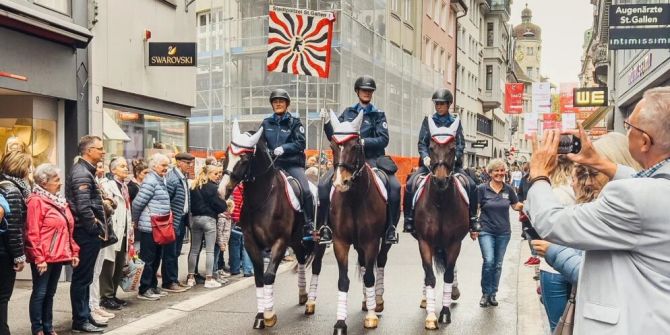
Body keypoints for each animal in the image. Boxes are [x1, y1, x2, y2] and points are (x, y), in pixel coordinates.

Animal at [218, 121, 326, 330]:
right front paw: (260, 315)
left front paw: (269, 315)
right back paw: (303, 295)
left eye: (244, 159)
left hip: (319, 242)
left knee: (316, 267)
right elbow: (259, 277)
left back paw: (310, 302)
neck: (262, 199)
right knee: (302, 260)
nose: (221, 190)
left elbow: (268, 276)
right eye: (227, 154)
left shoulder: (279, 242)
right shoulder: (251, 243)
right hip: (297, 241)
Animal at [326, 111, 392, 334]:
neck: (354, 199)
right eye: (332, 146)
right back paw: (366, 301)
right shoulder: (340, 242)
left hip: (382, 242)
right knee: (364, 266)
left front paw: (371, 317)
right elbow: (343, 281)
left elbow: (371, 276)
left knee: (379, 264)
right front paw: (340, 322)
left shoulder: (371, 241)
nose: (341, 182)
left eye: (355, 146)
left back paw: (376, 302)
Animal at [414, 117, 472, 330]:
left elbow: (448, 273)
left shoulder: (454, 243)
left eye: (453, 148)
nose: (440, 180)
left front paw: (445, 313)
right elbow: (430, 276)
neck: (440, 203)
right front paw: (431, 317)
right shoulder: (424, 242)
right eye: (431, 148)